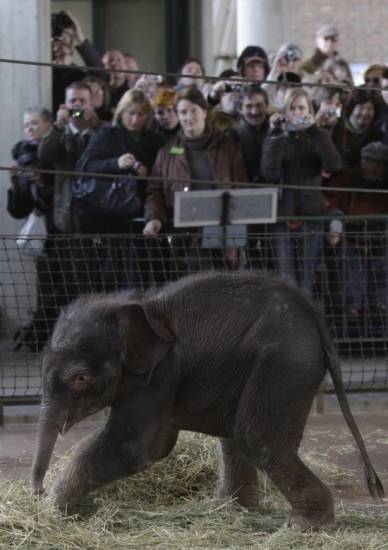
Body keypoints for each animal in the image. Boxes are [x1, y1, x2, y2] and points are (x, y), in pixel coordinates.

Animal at [31, 272, 384, 532]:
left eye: (80, 379)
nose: (37, 491)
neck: (137, 306)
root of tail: (316, 317)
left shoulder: (159, 376)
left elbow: (138, 446)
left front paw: (57, 507)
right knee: (237, 434)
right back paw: (231, 509)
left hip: (284, 362)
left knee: (258, 440)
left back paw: (304, 525)